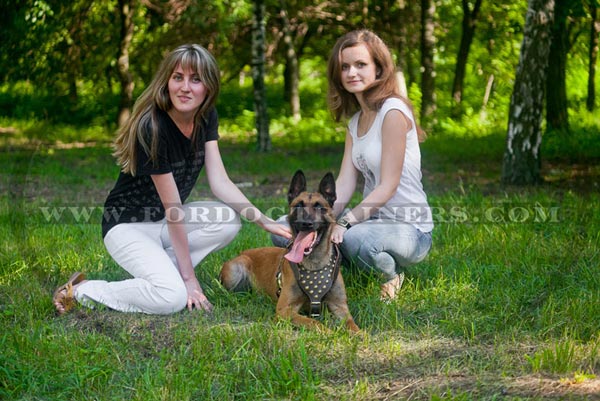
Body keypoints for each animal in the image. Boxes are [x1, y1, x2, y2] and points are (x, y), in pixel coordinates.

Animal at [220, 169, 360, 332]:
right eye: (298, 206)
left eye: (319, 207)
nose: (305, 223)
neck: (314, 262)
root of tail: (244, 253)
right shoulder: (285, 310)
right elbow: (315, 322)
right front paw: (329, 332)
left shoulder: (340, 307)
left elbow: (353, 325)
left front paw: (361, 334)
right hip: (235, 271)